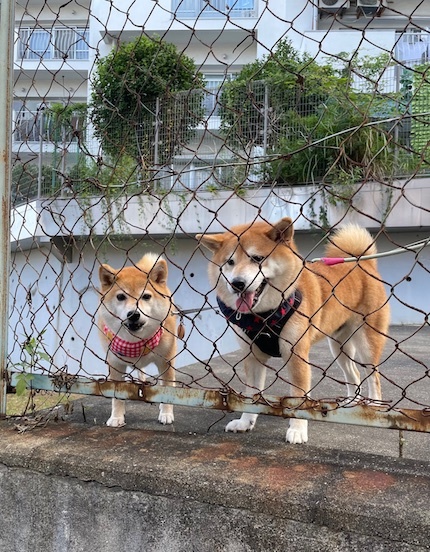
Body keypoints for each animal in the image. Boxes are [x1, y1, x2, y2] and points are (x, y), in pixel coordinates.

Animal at [98, 254, 177, 426]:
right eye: (121, 296)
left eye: (146, 296)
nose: (133, 314)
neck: (136, 342)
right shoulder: (115, 364)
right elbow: (117, 397)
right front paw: (117, 417)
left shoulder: (166, 361)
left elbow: (167, 388)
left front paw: (166, 413)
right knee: (140, 370)